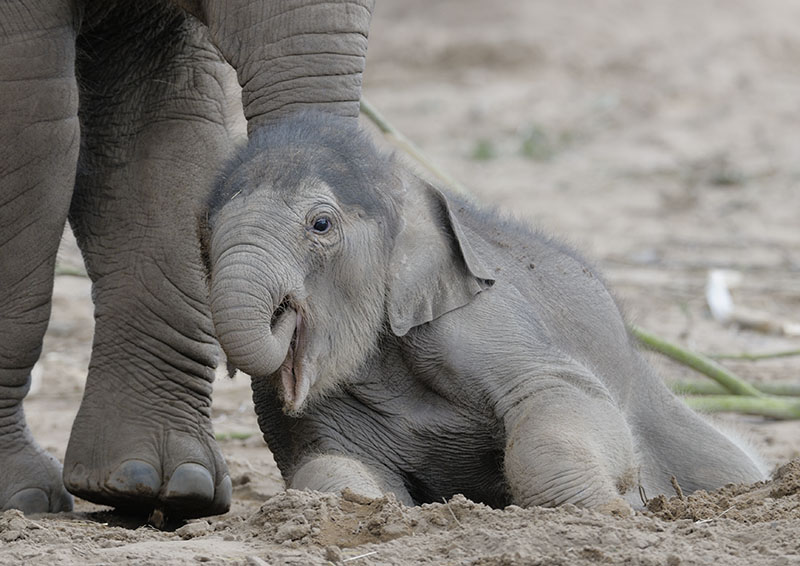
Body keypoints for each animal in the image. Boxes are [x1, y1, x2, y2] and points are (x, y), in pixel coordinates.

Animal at [202, 111, 767, 511]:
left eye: (320, 224)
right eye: (204, 238)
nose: (282, 312)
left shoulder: (479, 319)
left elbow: (559, 393)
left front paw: (609, 510)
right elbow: (326, 467)